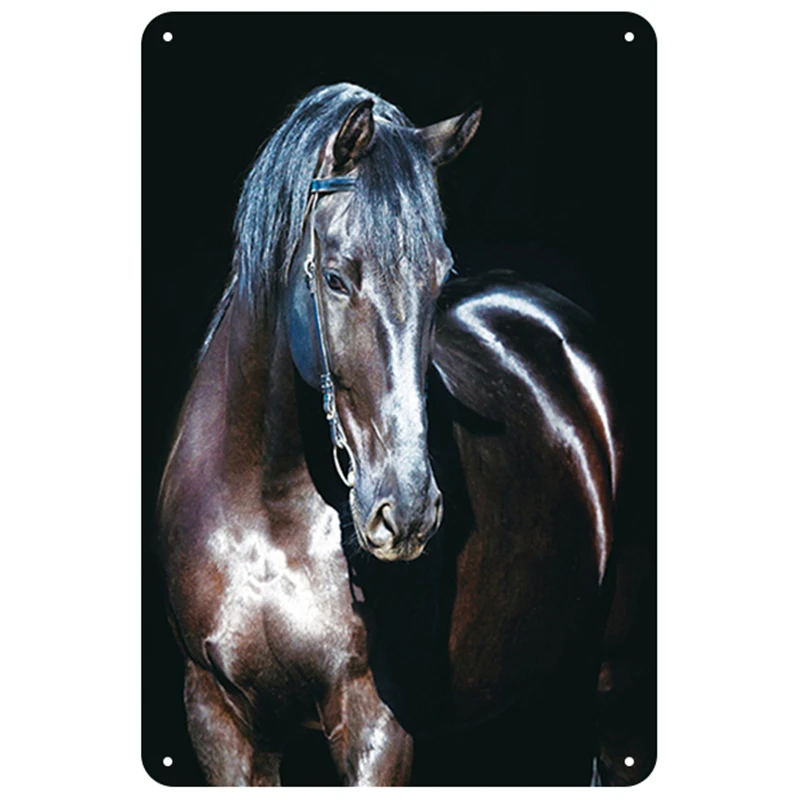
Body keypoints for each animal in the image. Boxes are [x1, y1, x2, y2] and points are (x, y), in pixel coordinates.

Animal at [157, 83, 621, 786]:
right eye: (336, 278)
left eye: (439, 276)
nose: (406, 513)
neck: (266, 509)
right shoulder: (218, 717)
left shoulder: (375, 723)